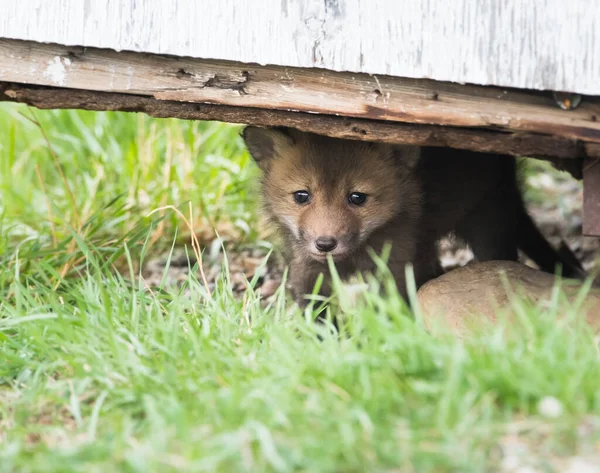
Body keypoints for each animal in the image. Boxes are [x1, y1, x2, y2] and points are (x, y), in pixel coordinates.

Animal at [240, 126, 584, 306]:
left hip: (488, 226)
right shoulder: (307, 271)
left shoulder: (396, 265)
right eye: (302, 196)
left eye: (357, 198)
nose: (325, 243)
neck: (353, 258)